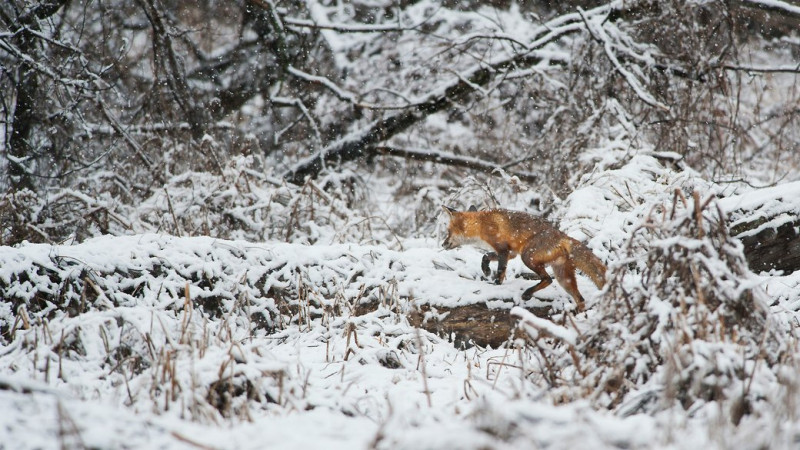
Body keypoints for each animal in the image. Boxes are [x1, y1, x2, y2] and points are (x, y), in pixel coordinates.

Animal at [440, 206, 604, 312]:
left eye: (448, 232)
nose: (443, 244)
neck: (481, 224)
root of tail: (563, 236)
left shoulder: (503, 250)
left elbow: (500, 271)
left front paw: (496, 285)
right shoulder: (510, 253)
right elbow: (485, 256)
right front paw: (486, 270)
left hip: (528, 257)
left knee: (548, 279)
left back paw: (528, 293)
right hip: (563, 278)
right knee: (580, 299)